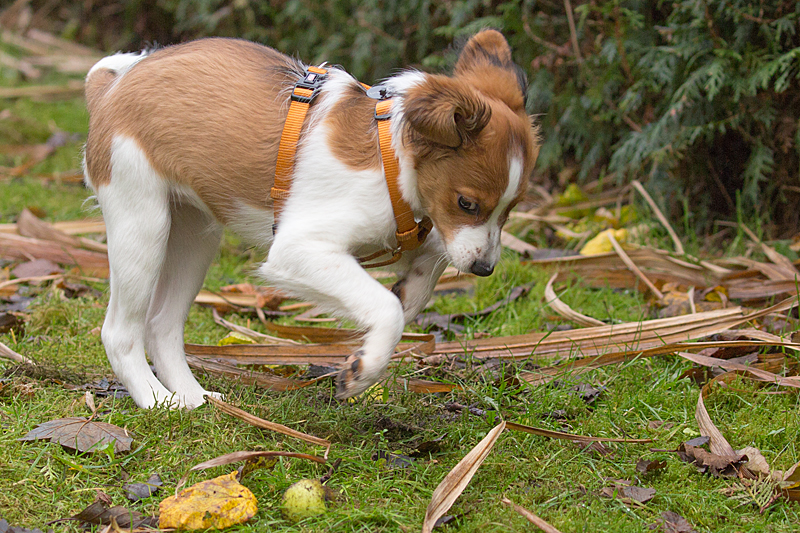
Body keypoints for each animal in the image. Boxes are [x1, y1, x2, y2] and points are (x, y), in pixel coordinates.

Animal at [84, 29, 540, 408]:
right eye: (467, 203)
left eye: (512, 207)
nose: (484, 270)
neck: (390, 161)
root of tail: (111, 87)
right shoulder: (296, 249)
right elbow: (387, 308)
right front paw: (363, 369)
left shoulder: (415, 235)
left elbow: (424, 270)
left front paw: (410, 291)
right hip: (143, 222)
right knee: (120, 332)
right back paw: (157, 400)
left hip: (194, 235)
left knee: (161, 325)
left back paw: (195, 398)